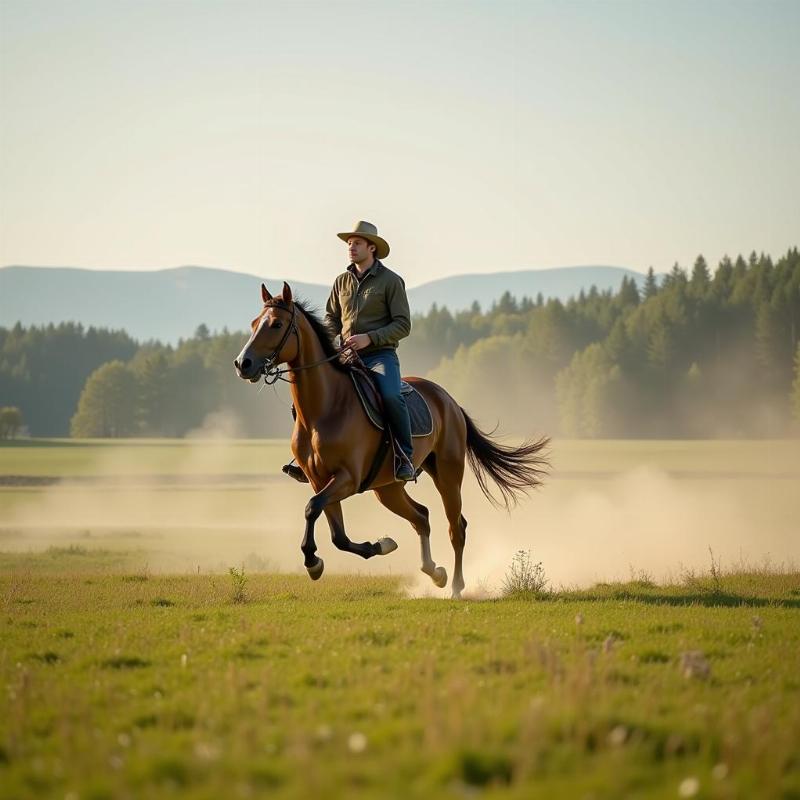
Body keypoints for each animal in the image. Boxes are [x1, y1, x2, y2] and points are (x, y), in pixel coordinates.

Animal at [233, 284, 552, 596]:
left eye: (276, 324)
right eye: (253, 323)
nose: (242, 364)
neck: (325, 409)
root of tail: (449, 401)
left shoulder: (347, 479)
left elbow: (313, 508)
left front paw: (314, 561)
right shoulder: (319, 479)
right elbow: (336, 534)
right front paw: (377, 546)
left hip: (448, 475)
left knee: (456, 527)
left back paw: (456, 587)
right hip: (388, 488)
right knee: (421, 516)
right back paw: (434, 572)